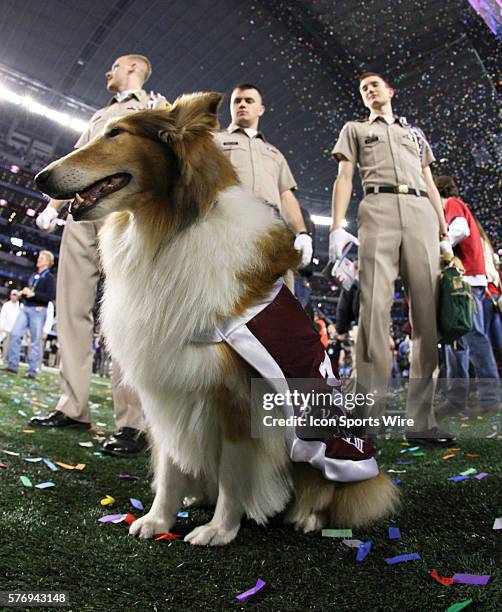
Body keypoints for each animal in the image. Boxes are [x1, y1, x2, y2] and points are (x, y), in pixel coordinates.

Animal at [35, 92, 398, 544]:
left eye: (116, 132)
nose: (40, 179)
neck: (169, 228)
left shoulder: (239, 398)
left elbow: (233, 472)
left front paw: (219, 531)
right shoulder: (166, 383)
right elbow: (170, 467)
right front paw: (158, 520)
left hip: (320, 446)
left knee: (327, 494)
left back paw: (306, 518)